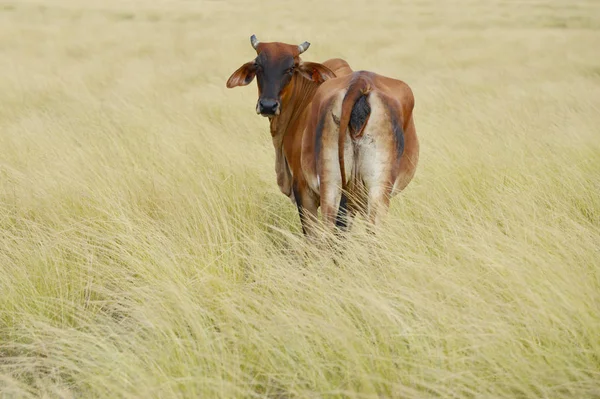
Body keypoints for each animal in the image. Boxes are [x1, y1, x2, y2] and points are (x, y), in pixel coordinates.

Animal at [227, 35, 420, 238]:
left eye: (291, 67)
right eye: (258, 64)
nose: (267, 105)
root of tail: (361, 83)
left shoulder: (303, 191)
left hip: (331, 187)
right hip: (376, 191)